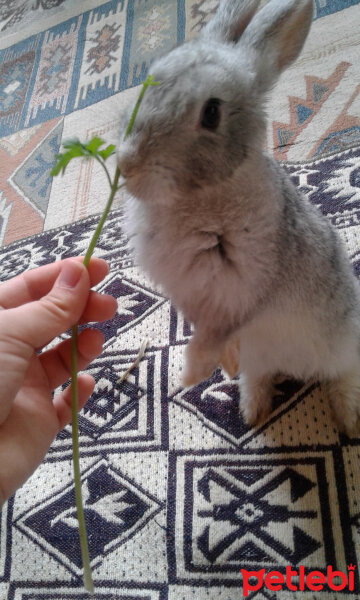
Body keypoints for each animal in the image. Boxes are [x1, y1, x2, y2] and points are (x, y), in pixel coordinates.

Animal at [117, 0, 360, 434]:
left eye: (212, 112)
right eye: (148, 83)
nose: (127, 165)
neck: (200, 198)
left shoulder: (246, 290)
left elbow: (216, 333)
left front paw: (191, 373)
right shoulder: (192, 297)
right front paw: (213, 368)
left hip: (343, 339)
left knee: (345, 371)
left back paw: (347, 418)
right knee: (261, 373)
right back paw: (251, 407)